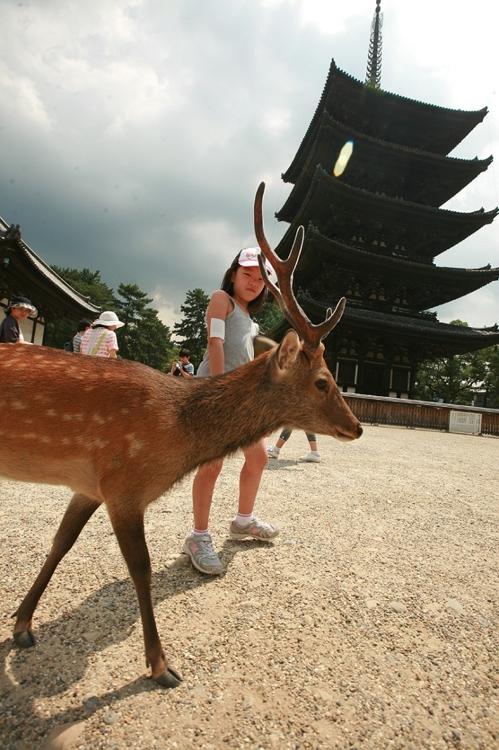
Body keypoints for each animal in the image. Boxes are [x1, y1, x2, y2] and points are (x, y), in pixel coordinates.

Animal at [0, 182, 364, 688]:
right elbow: (142, 569)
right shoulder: (124, 486)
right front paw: (160, 665)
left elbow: (59, 545)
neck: (174, 434)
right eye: (323, 381)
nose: (358, 426)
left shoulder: (89, 486)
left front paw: (22, 626)